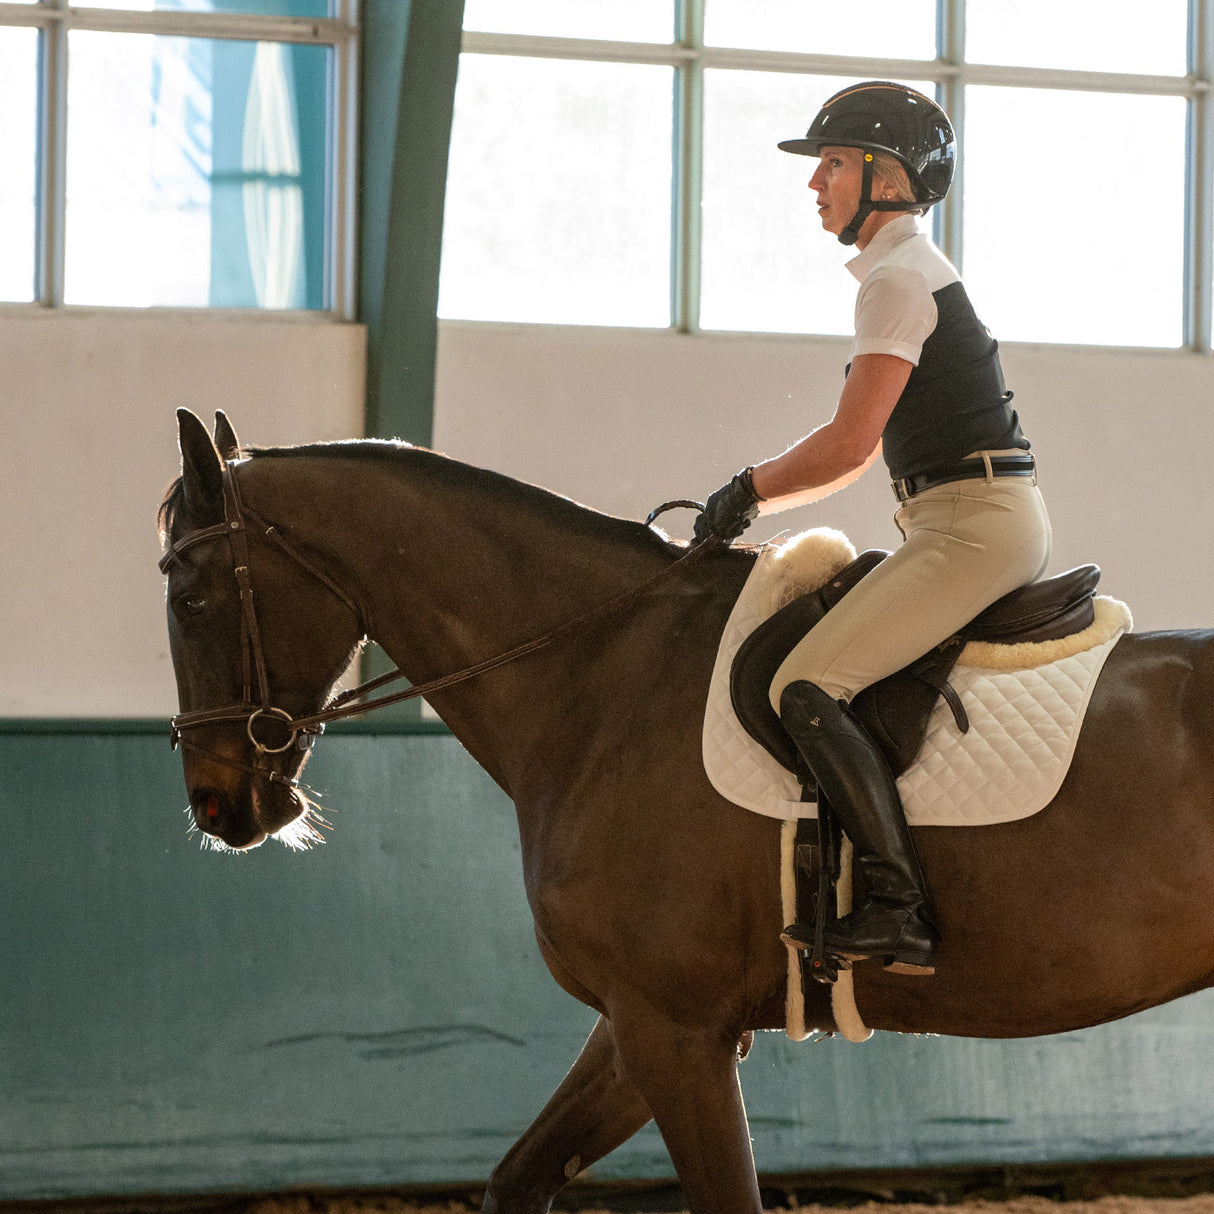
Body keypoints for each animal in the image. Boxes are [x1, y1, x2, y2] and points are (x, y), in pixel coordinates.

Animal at [163, 410, 1214, 1214]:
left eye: (190, 596)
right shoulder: (637, 1025)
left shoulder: (677, 1031)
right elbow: (516, 1178)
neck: (600, 672)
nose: (217, 804)